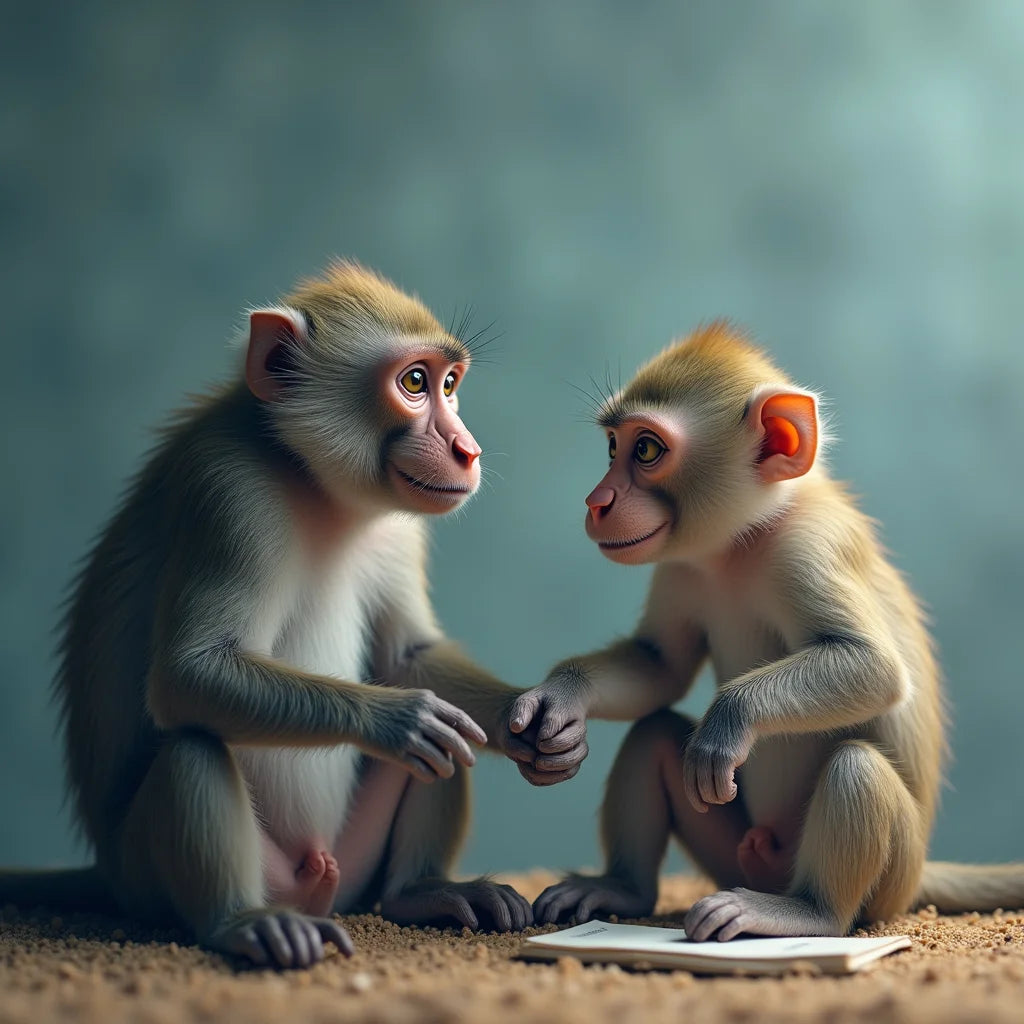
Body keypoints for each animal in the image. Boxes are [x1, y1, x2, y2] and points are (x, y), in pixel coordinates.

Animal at [0, 260, 574, 969]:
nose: (466, 450)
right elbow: (189, 674)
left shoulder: (399, 527)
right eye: (415, 382)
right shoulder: (229, 492)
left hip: (355, 863)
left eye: (449, 383)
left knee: (450, 747)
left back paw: (422, 892)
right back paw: (243, 922)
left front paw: (538, 717)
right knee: (194, 745)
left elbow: (410, 658)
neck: (317, 487)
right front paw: (399, 719)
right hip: (148, 875)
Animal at [509, 322, 1024, 940]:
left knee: (856, 767)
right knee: (653, 734)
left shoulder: (808, 545)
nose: (597, 501)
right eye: (612, 447)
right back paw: (622, 887)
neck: (741, 543)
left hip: (890, 879)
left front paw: (729, 721)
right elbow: (661, 666)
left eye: (647, 449)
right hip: (733, 853)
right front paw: (563, 700)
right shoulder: (680, 567)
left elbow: (874, 667)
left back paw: (804, 912)